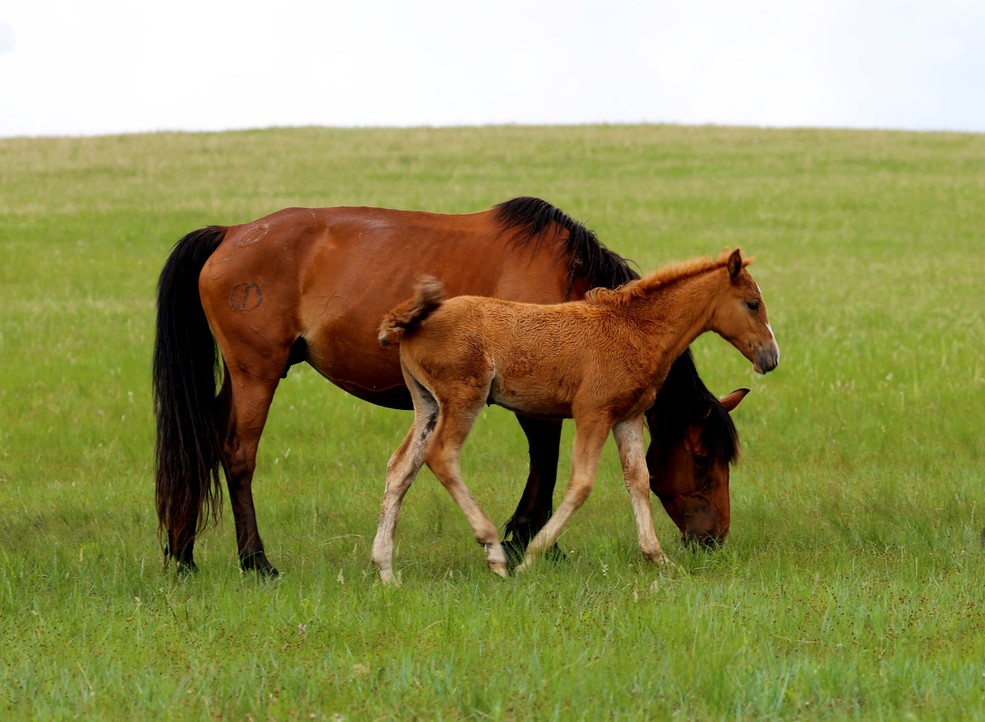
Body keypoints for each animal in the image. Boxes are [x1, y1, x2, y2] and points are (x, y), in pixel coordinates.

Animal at [152, 198, 744, 572]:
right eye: (700, 458)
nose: (715, 539)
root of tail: (230, 234)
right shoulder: (542, 398)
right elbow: (546, 462)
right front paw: (528, 539)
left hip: (241, 378)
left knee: (205, 443)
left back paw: (183, 552)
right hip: (257, 374)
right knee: (238, 454)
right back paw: (255, 560)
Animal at [370, 248, 776, 580]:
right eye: (753, 303)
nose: (771, 357)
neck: (636, 328)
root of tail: (414, 321)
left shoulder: (628, 417)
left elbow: (638, 480)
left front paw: (657, 558)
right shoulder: (592, 412)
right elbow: (581, 483)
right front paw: (531, 557)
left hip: (428, 404)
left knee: (401, 466)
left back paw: (385, 569)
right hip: (463, 398)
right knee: (442, 457)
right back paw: (494, 555)